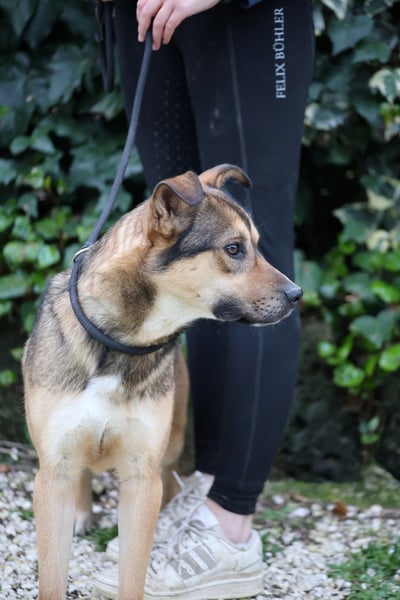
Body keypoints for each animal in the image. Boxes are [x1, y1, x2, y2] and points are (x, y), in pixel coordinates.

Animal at [23, 164, 302, 600]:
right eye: (234, 249)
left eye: (257, 245)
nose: (297, 294)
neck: (122, 343)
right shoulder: (55, 467)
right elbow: (52, 577)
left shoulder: (142, 476)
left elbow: (133, 573)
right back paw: (82, 512)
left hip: (172, 441)